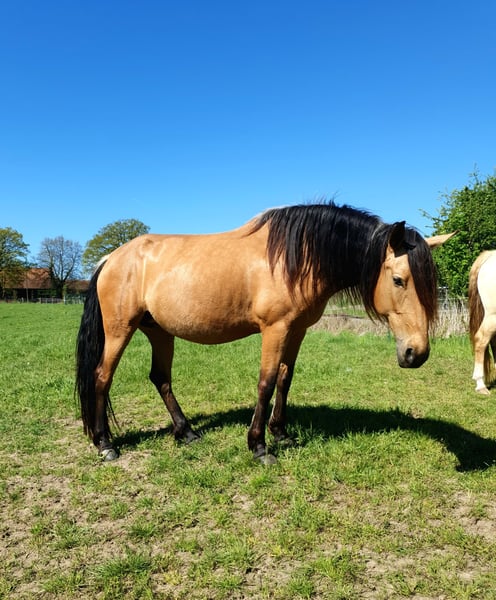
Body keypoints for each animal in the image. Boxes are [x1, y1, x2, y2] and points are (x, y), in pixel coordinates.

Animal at [76, 201, 453, 463]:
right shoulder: (275, 329)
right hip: (120, 330)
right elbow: (266, 381)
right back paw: (106, 444)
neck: (297, 258)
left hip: (159, 332)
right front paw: (258, 445)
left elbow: (285, 379)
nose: (417, 352)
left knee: (160, 378)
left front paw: (280, 433)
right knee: (101, 377)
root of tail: (111, 258)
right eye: (399, 280)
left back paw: (186, 432)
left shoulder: (297, 330)